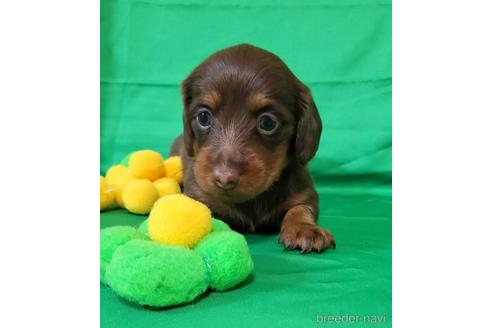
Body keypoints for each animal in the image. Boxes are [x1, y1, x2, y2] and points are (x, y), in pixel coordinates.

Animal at [171, 44, 336, 254]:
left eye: (267, 122)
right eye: (203, 117)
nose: (225, 178)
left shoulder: (305, 192)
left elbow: (300, 208)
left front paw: (305, 229)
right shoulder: (199, 194)